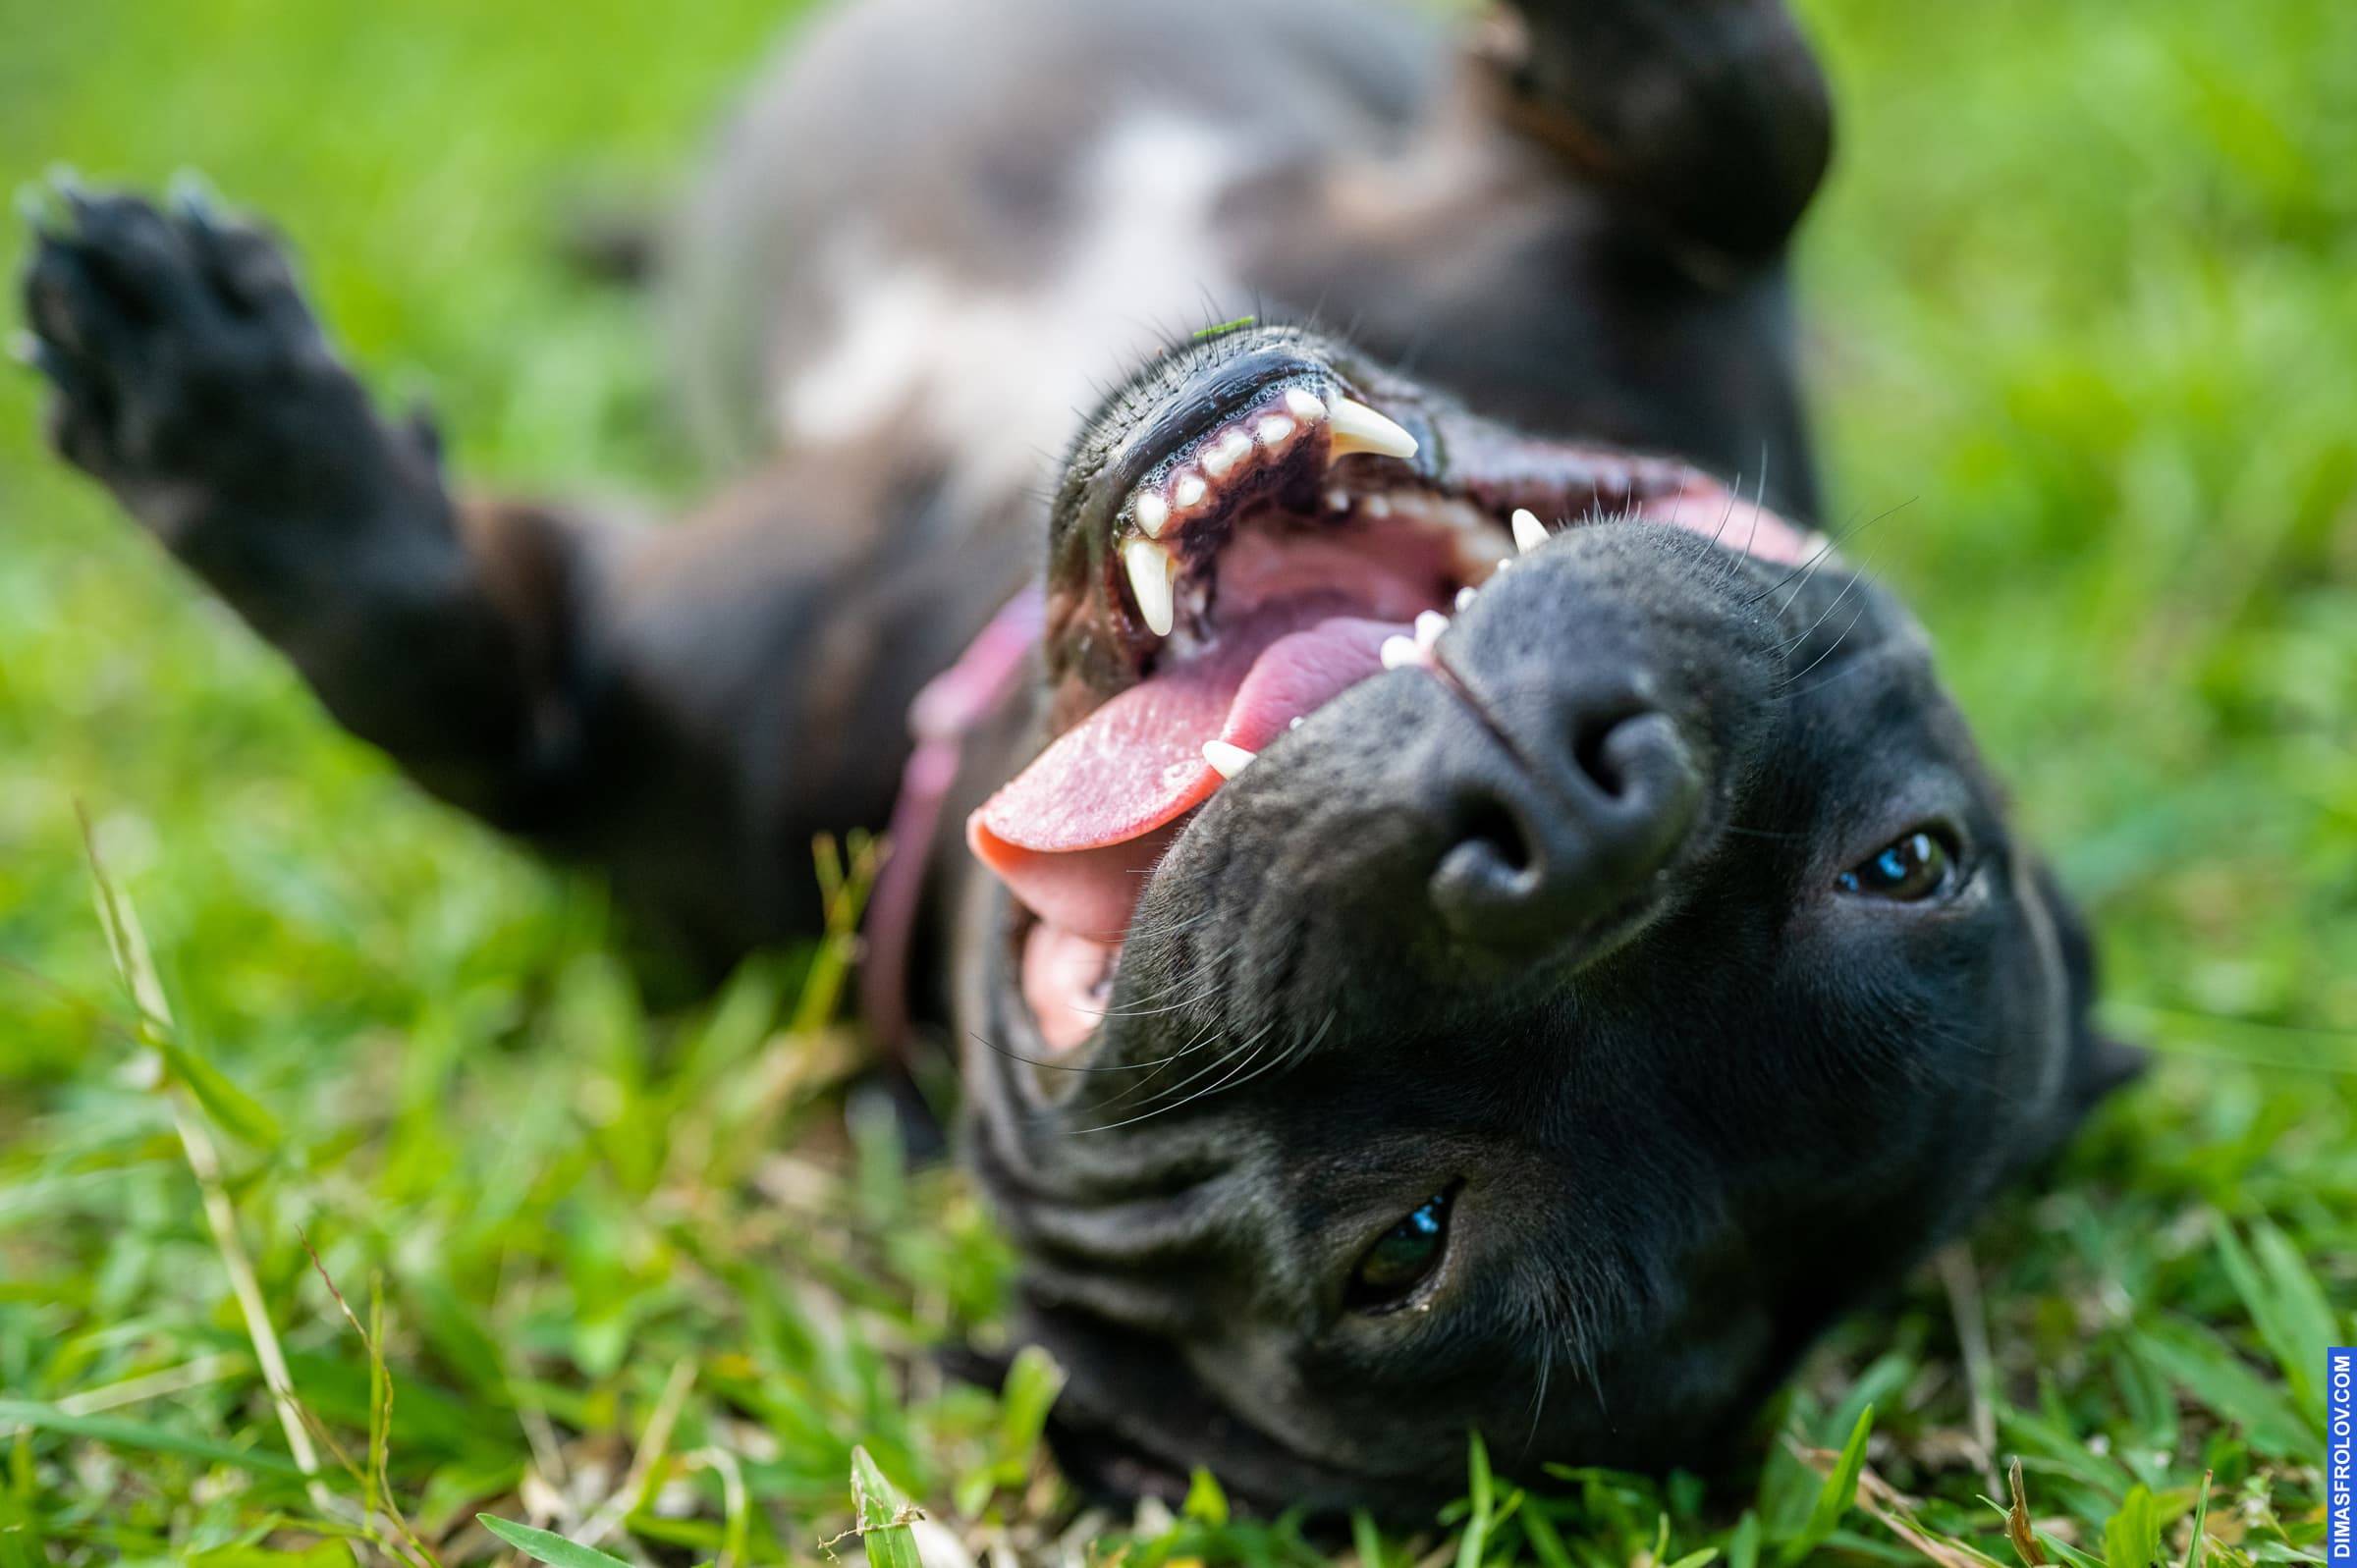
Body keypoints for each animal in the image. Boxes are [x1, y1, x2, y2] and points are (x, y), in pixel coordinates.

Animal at [18, 0, 2137, 1516]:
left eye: (1404, 1251)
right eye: (1911, 862)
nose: (1572, 820)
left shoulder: (590, 725)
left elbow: (445, 679)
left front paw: (205, 410)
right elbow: (1757, 109)